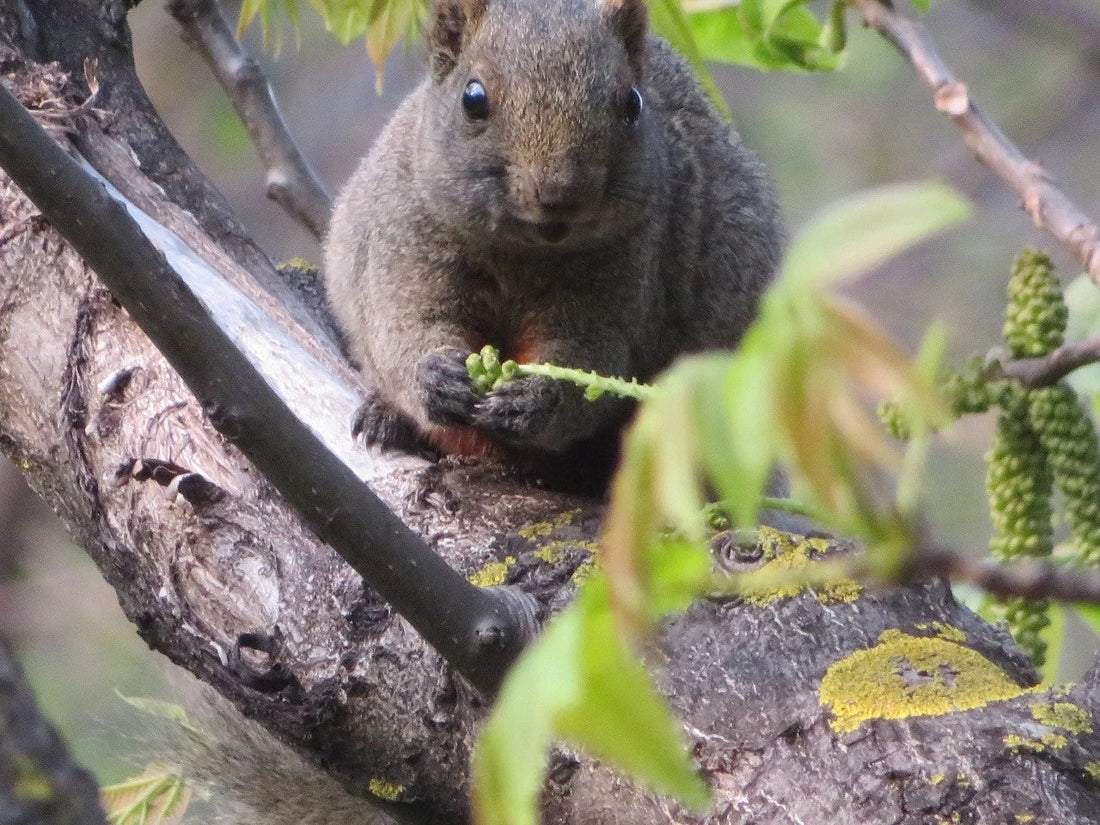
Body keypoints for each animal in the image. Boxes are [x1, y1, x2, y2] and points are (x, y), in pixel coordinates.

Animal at [321, 0, 787, 490]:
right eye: (473, 99)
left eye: (632, 103)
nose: (560, 194)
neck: (522, 253)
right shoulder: (403, 243)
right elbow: (405, 325)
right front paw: (435, 378)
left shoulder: (625, 279)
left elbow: (590, 358)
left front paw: (532, 401)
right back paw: (386, 417)